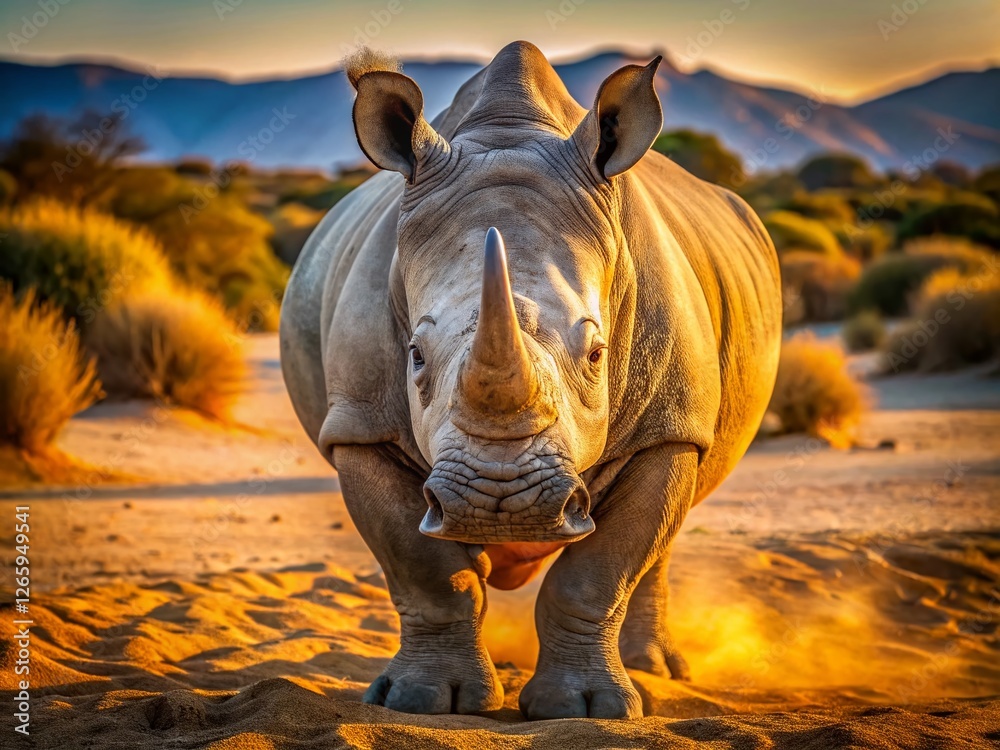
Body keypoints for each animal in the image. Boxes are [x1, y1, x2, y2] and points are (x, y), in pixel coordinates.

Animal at [280, 41, 781, 720]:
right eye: (414, 355)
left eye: (597, 354)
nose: (500, 501)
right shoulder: (361, 425)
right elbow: (426, 570)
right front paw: (422, 702)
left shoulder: (670, 425)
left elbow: (598, 573)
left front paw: (588, 709)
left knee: (663, 536)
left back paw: (657, 671)